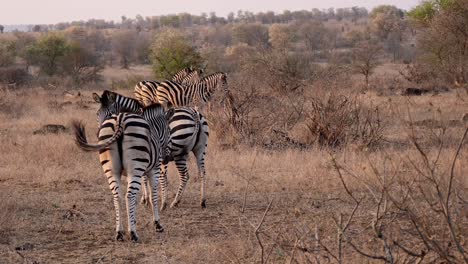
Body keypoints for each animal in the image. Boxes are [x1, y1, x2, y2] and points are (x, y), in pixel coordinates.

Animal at [71, 92, 170, 241]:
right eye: (169, 129)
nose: (167, 157)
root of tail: (120, 119)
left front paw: (132, 221)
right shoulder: (154, 169)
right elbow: (153, 195)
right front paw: (157, 224)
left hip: (112, 170)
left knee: (117, 196)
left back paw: (119, 232)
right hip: (135, 167)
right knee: (129, 196)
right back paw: (133, 234)